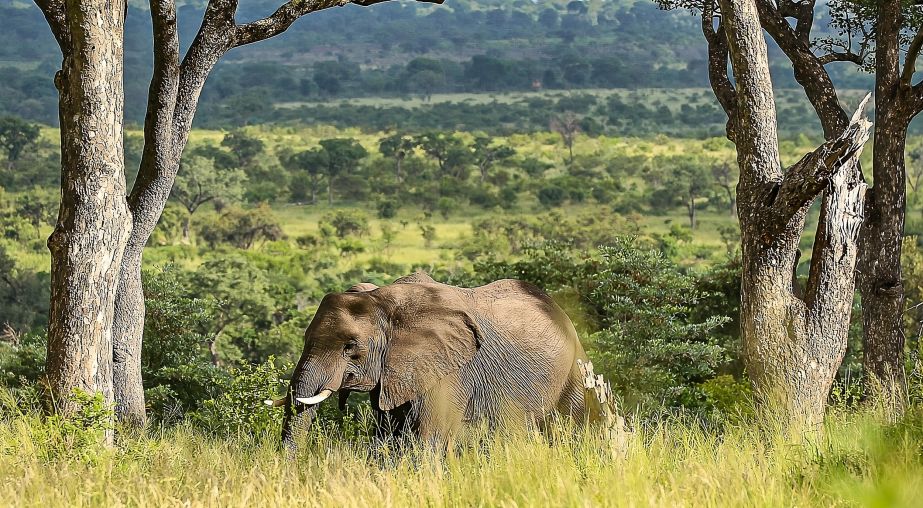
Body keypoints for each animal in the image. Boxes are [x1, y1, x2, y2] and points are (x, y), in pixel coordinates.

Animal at [268, 272, 590, 448]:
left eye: (350, 347)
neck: (382, 299)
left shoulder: (449, 369)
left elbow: (428, 436)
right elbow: (388, 435)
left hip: (574, 366)